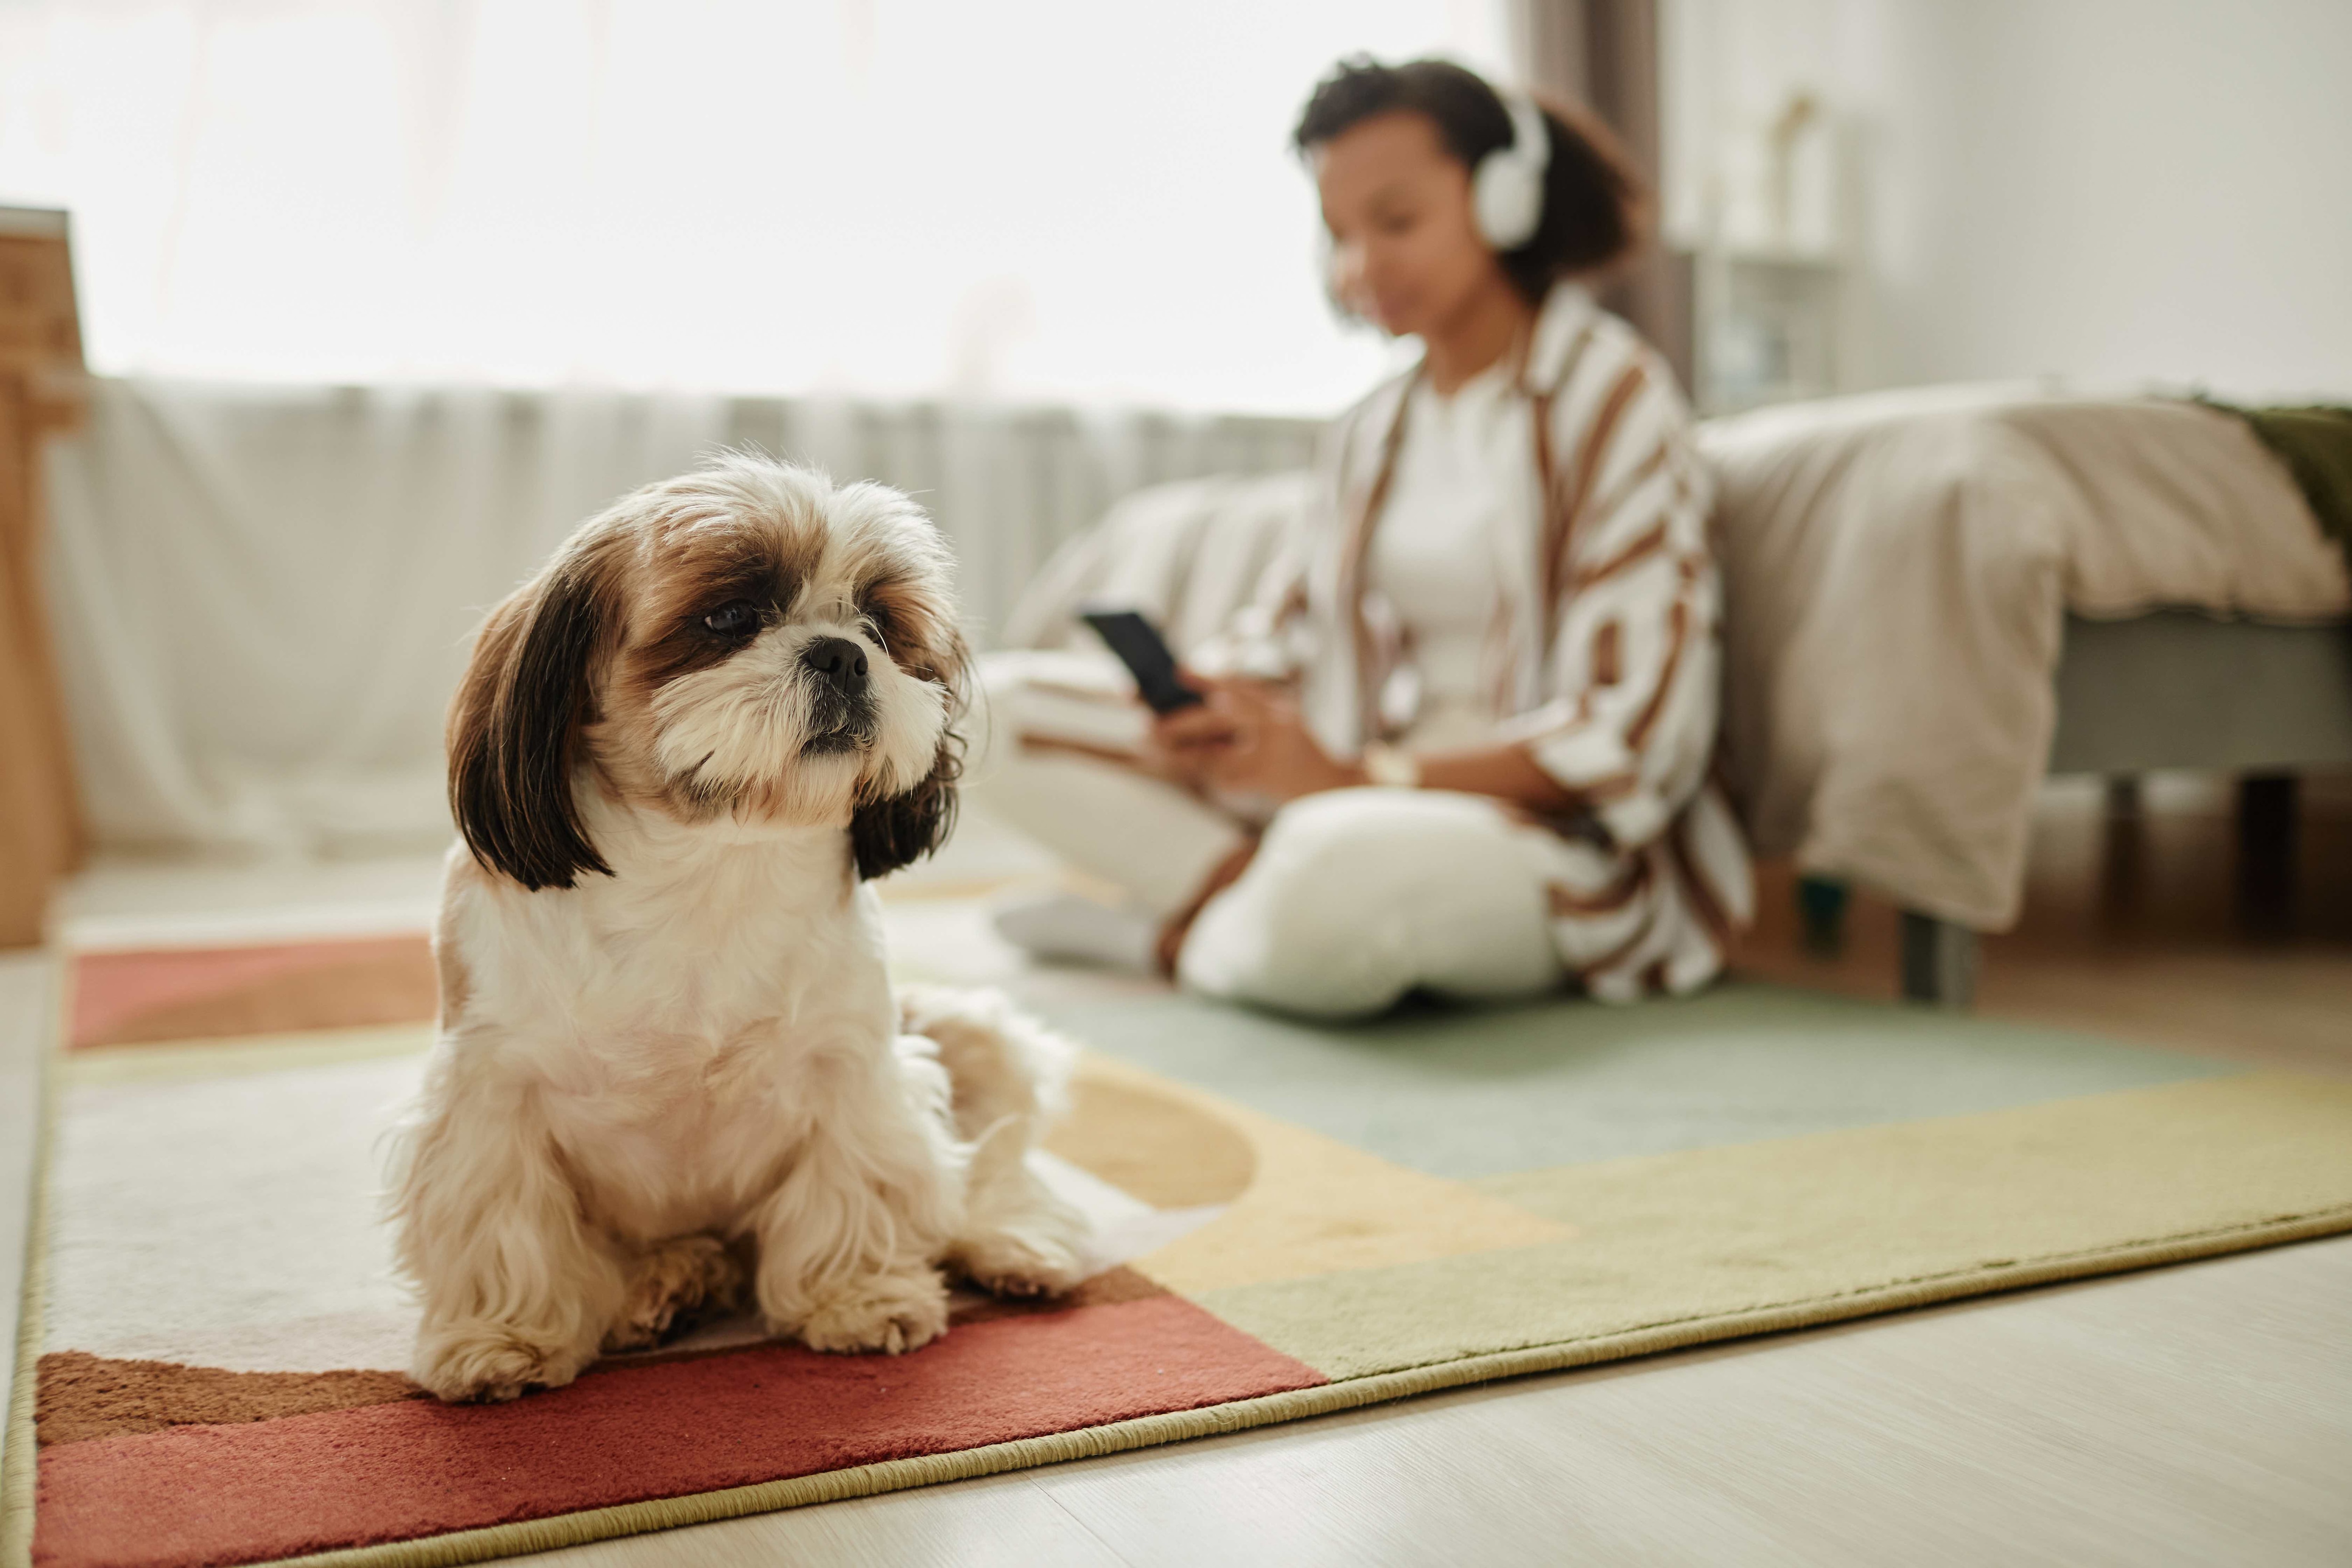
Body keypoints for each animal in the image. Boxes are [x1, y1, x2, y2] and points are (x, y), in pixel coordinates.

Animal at [386, 456, 1082, 1410]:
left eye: (879, 624)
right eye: (728, 618)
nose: (841, 653)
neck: (710, 861)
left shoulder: (854, 1067)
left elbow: (857, 1178)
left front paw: (856, 1295)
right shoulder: (491, 1093)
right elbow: (503, 1223)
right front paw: (502, 1337)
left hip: (969, 1033)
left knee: (993, 1167)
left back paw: (1016, 1246)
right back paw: (667, 1283)